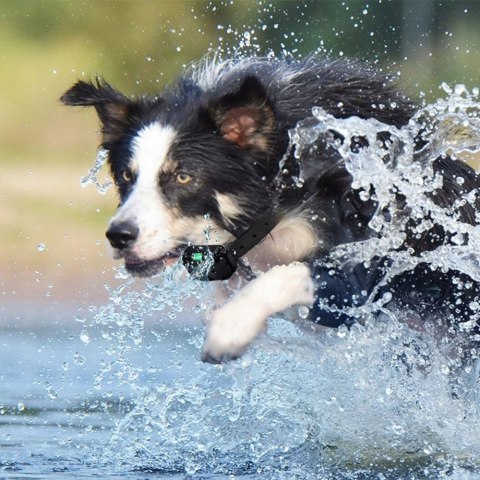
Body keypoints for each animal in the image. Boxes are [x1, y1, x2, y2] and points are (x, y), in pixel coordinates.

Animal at [61, 56, 480, 362]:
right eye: (127, 176)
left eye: (183, 177)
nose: (119, 236)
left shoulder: (363, 275)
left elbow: (287, 275)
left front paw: (231, 327)